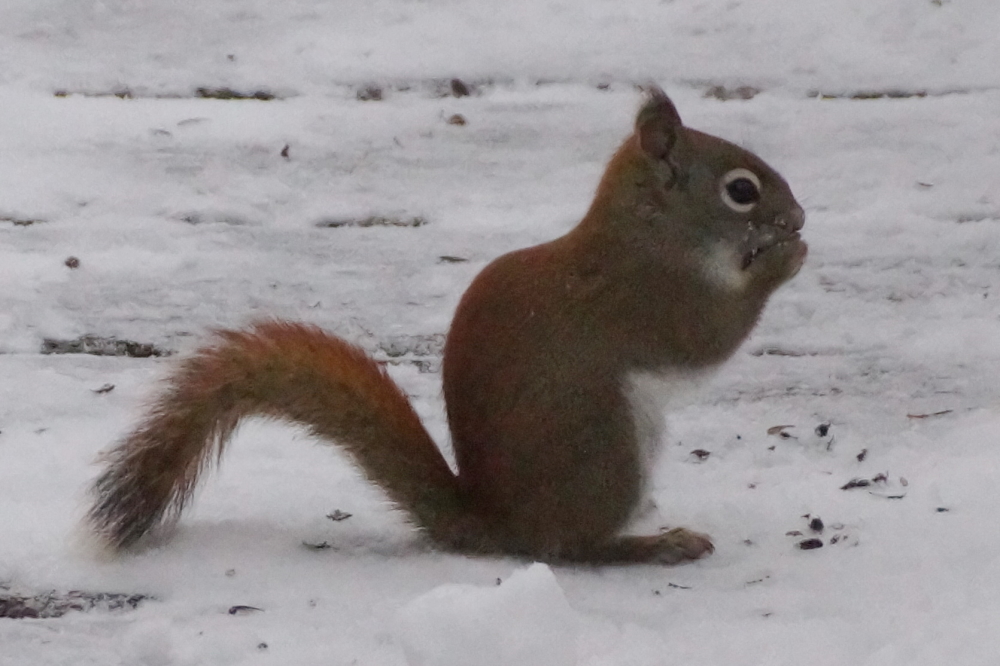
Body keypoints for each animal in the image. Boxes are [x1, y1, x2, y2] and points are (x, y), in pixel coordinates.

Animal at [88, 87, 806, 564]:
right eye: (741, 190)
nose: (797, 217)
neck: (645, 232)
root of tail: (500, 525)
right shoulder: (648, 298)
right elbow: (707, 338)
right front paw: (784, 260)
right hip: (606, 447)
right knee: (571, 548)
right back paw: (654, 544)